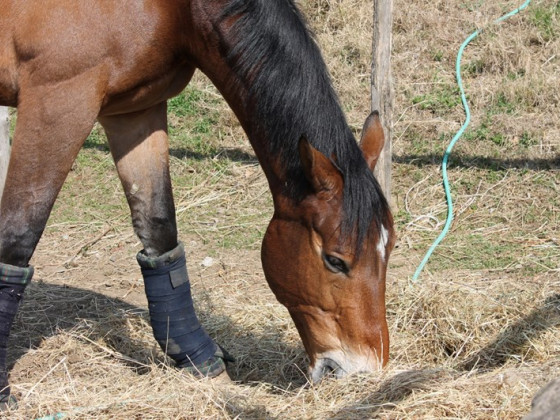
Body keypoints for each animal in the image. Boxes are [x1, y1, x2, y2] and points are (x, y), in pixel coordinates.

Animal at [0, 0, 394, 404]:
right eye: (335, 260)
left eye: (389, 249)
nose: (363, 370)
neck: (176, 12)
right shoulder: (58, 102)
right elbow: (18, 236)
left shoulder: (134, 108)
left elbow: (159, 230)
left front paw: (199, 361)